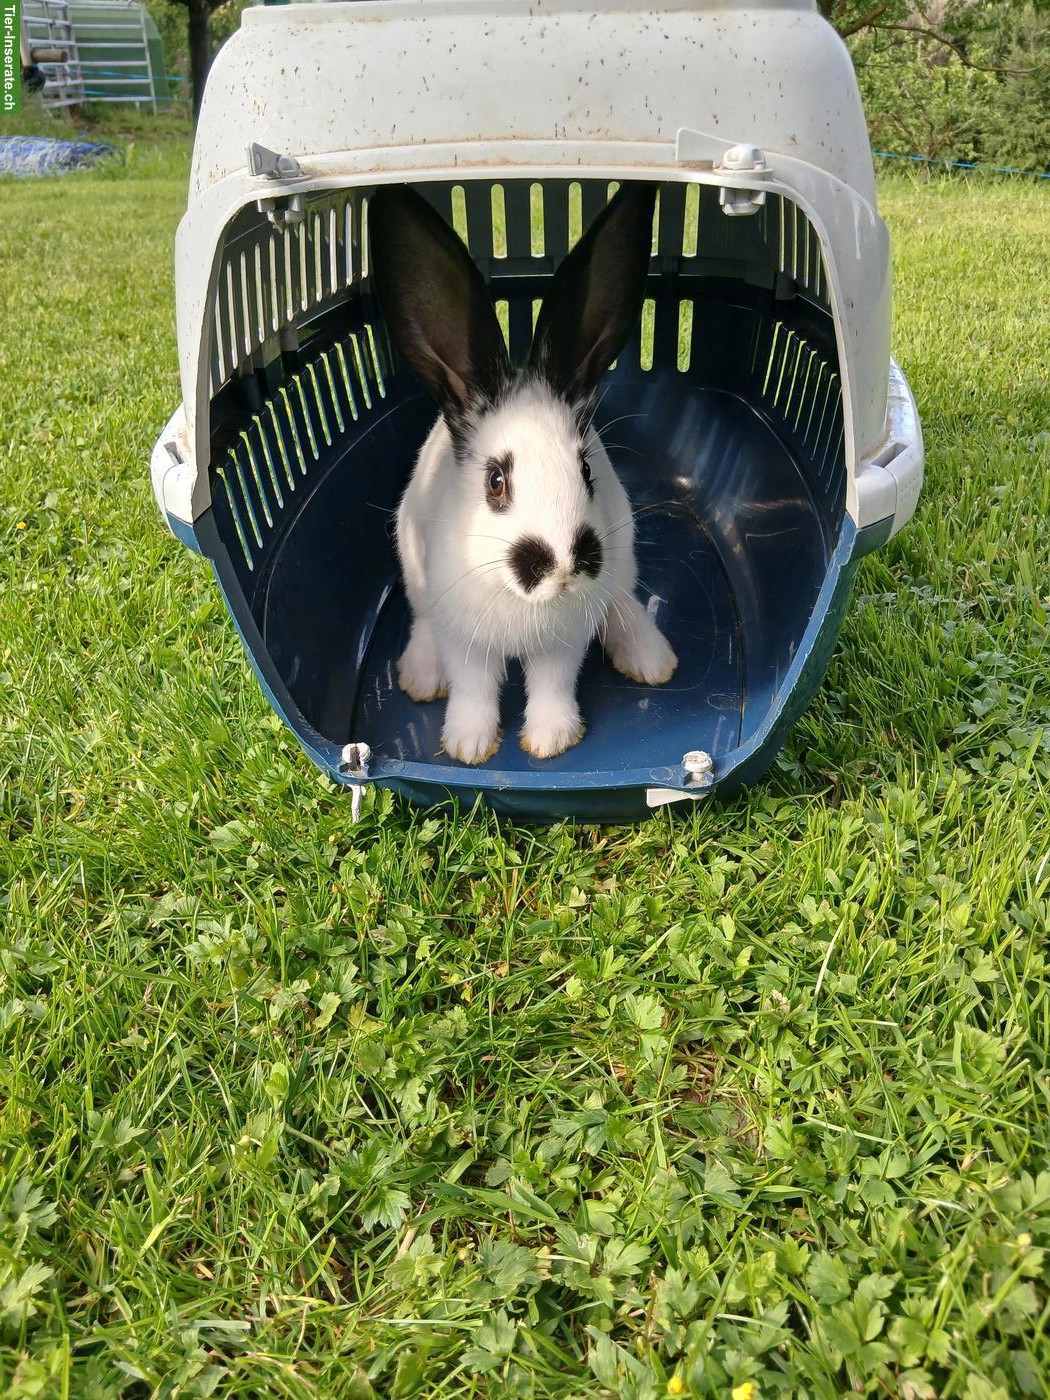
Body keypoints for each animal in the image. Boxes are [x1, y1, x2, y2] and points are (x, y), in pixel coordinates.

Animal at [368, 181, 677, 766]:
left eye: (585, 468)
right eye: (496, 482)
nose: (564, 562)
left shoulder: (564, 642)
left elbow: (552, 686)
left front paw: (549, 741)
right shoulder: (465, 641)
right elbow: (472, 689)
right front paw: (468, 746)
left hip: (622, 558)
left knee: (621, 601)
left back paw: (651, 658)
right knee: (423, 623)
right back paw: (421, 675)